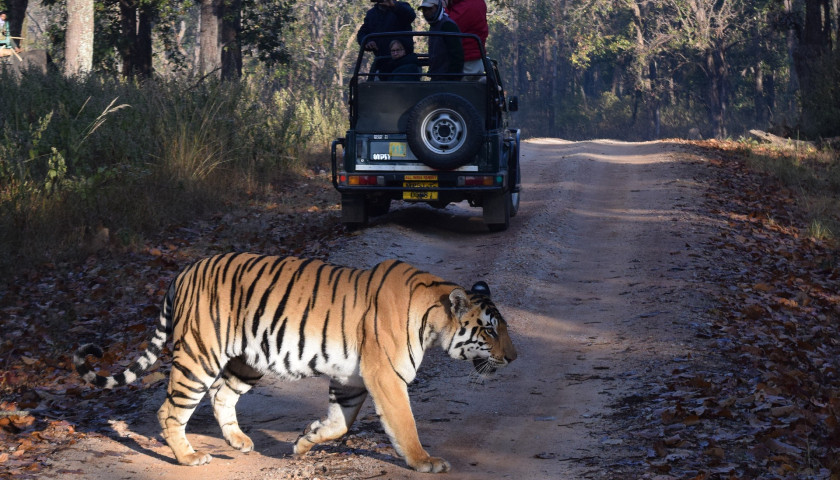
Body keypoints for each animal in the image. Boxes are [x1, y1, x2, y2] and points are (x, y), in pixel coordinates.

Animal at [74, 251, 520, 472]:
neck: (432, 318)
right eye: (489, 331)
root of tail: (183, 271)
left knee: (221, 396)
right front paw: (425, 461)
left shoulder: (352, 378)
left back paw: (239, 441)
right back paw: (188, 457)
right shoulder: (386, 377)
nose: (514, 358)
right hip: (199, 355)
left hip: (246, 360)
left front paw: (305, 441)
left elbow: (340, 424)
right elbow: (404, 424)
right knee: (170, 410)